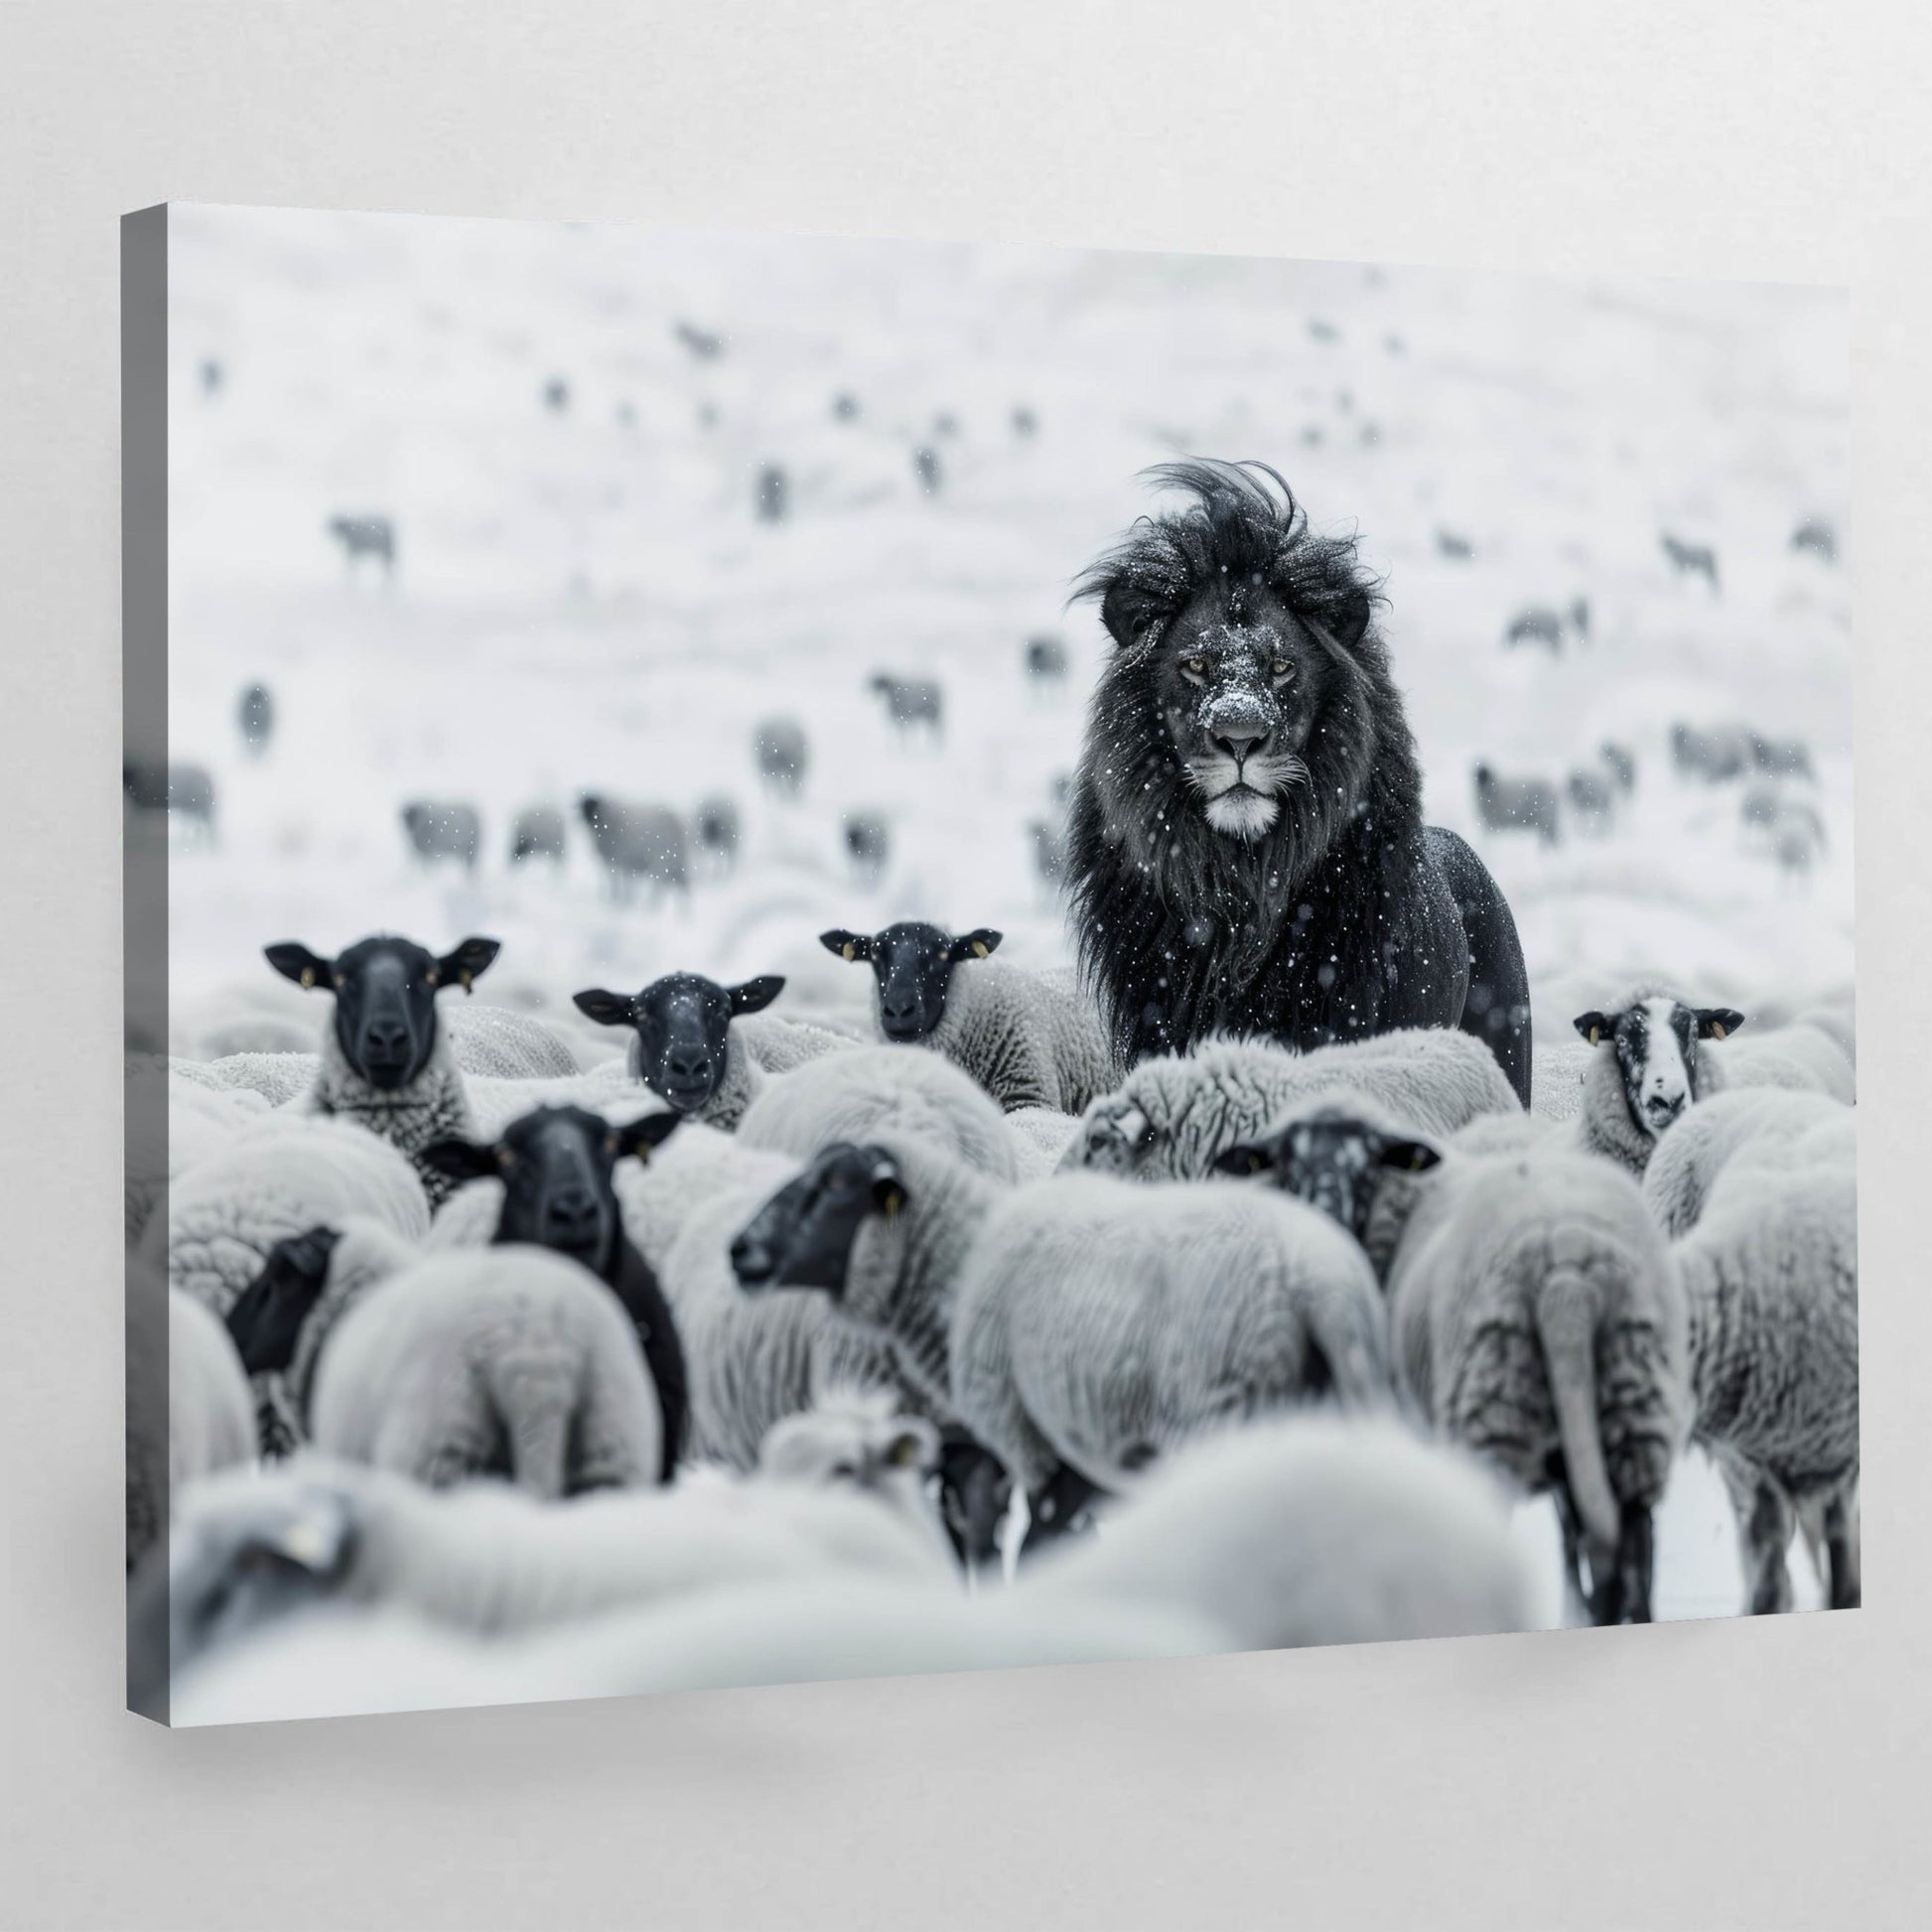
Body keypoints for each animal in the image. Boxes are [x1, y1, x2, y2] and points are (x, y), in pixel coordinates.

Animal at [733, 1133, 1390, 1551]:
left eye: (834, 1186)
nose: (738, 1249)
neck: (961, 1264)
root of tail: (1316, 1279)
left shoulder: (1029, 1446)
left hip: (1222, 1418)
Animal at [1216, 1102, 1689, 1623]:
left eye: (1367, 1163)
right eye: (1286, 1162)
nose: (1325, 1217)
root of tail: (1565, 1281)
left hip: (1492, 1414)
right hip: (1630, 1411)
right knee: (1631, 1570)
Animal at [1667, 1117, 1859, 1611]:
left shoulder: (1843, 1454)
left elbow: (1840, 1536)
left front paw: (1845, 1596)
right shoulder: (1751, 1462)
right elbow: (1768, 1542)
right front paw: (1768, 1601)